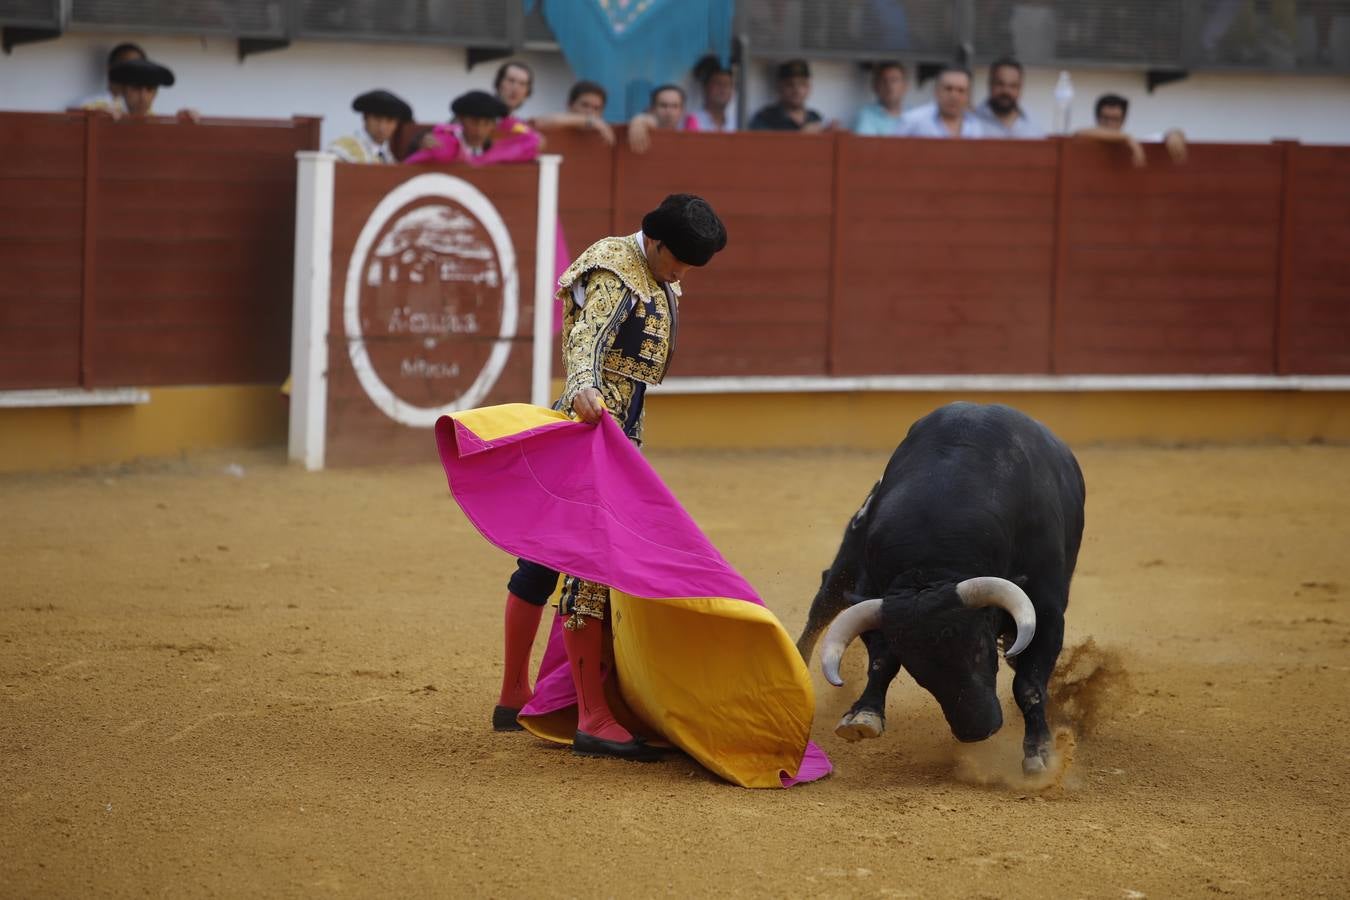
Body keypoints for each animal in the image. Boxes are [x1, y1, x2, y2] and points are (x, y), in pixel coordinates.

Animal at [793, 402, 1080, 777]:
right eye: (917, 670)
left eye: (979, 648)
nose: (978, 730)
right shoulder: (876, 597)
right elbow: (882, 661)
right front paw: (863, 716)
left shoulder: (1046, 611)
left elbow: (1029, 685)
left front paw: (1040, 753)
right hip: (848, 562)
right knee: (823, 605)